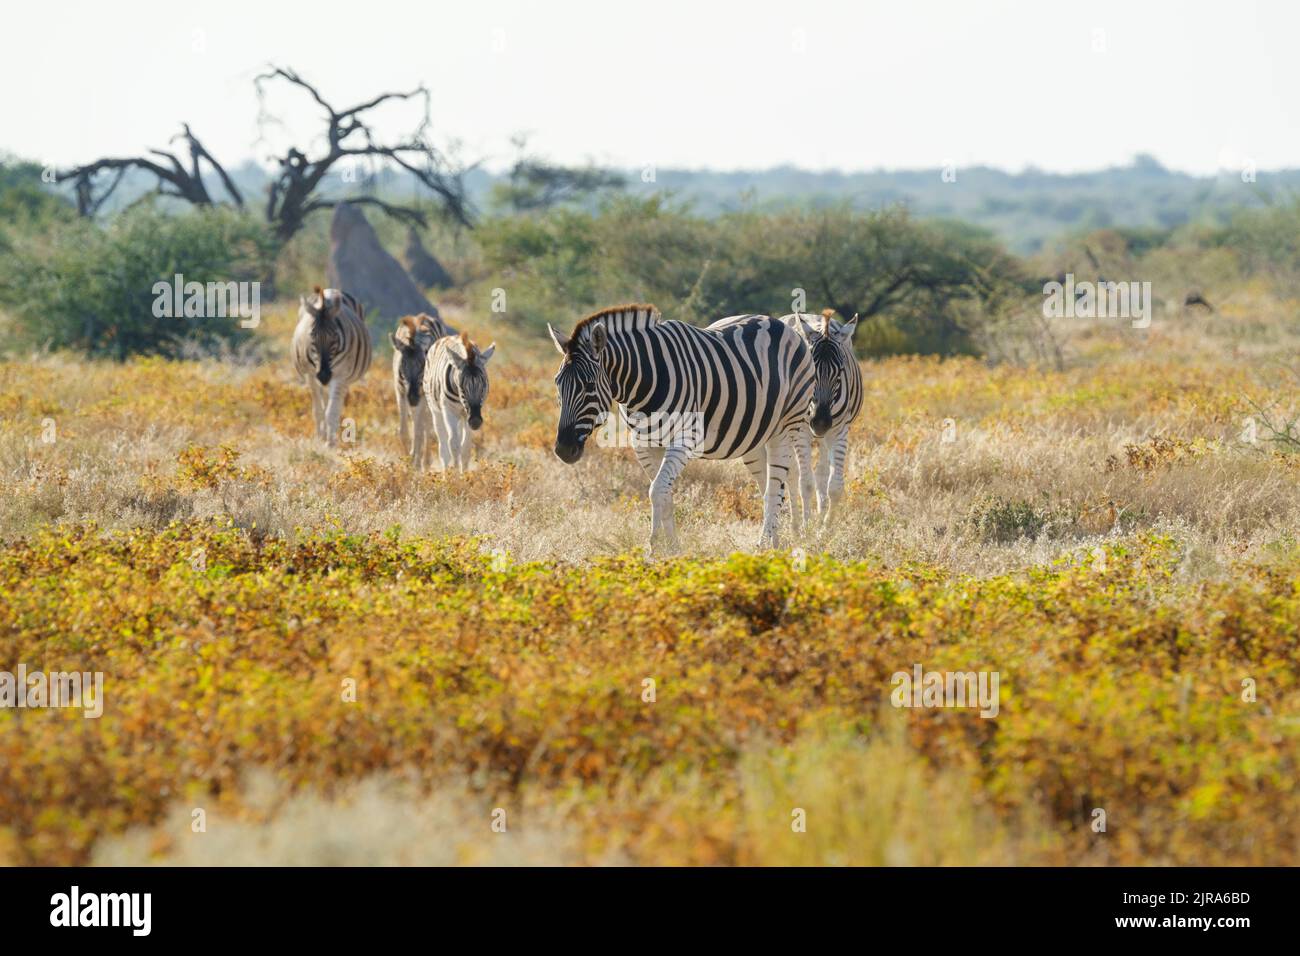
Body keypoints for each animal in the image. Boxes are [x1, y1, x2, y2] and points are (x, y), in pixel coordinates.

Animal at [292, 286, 372, 447]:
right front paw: (319, 439)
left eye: (335, 337)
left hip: (345, 378)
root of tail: (330, 290)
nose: (324, 375)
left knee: (336, 404)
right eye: (311, 337)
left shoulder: (340, 375)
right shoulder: (310, 376)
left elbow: (332, 411)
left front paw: (330, 444)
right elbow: (318, 411)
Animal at [391, 312, 455, 469]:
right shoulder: (400, 392)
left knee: (426, 425)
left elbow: (420, 430)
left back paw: (425, 461)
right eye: (402, 368)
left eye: (422, 368)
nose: (412, 398)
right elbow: (403, 431)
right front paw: (406, 462)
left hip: (429, 396)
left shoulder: (422, 395)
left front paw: (416, 464)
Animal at [422, 332, 496, 471]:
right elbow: (454, 444)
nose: (476, 422)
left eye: (483, 387)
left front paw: (464, 474)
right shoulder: (449, 410)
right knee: (444, 448)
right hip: (436, 411)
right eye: (462, 387)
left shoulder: (467, 415)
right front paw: (455, 474)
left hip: (462, 416)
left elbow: (465, 448)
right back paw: (446, 472)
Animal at [549, 304, 813, 552]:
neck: (643, 382)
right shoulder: (643, 443)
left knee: (782, 484)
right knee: (773, 483)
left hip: (790, 423)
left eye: (589, 386)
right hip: (753, 436)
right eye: (557, 384)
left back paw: (775, 543)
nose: (563, 449)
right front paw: (673, 549)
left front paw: (655, 547)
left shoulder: (685, 439)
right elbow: (664, 492)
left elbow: (656, 490)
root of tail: (777, 322)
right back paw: (776, 542)